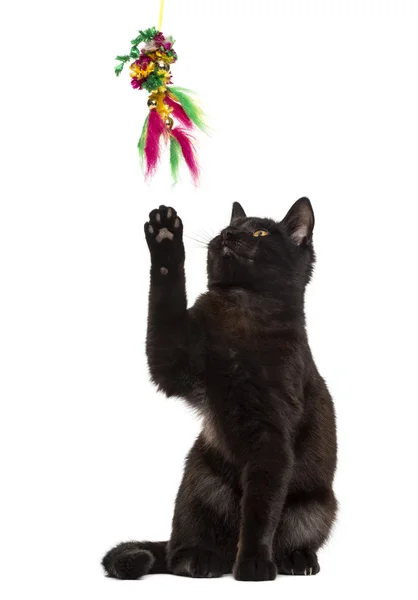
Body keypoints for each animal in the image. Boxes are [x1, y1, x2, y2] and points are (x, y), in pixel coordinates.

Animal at [103, 200, 338, 580]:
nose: (228, 234)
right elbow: (165, 304)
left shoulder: (271, 438)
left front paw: (255, 564)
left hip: (316, 507)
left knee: (289, 534)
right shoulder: (172, 361)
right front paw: (165, 236)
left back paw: (296, 560)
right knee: (178, 550)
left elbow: (260, 509)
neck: (240, 311)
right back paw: (200, 559)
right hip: (200, 479)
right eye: (230, 227)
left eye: (260, 232)